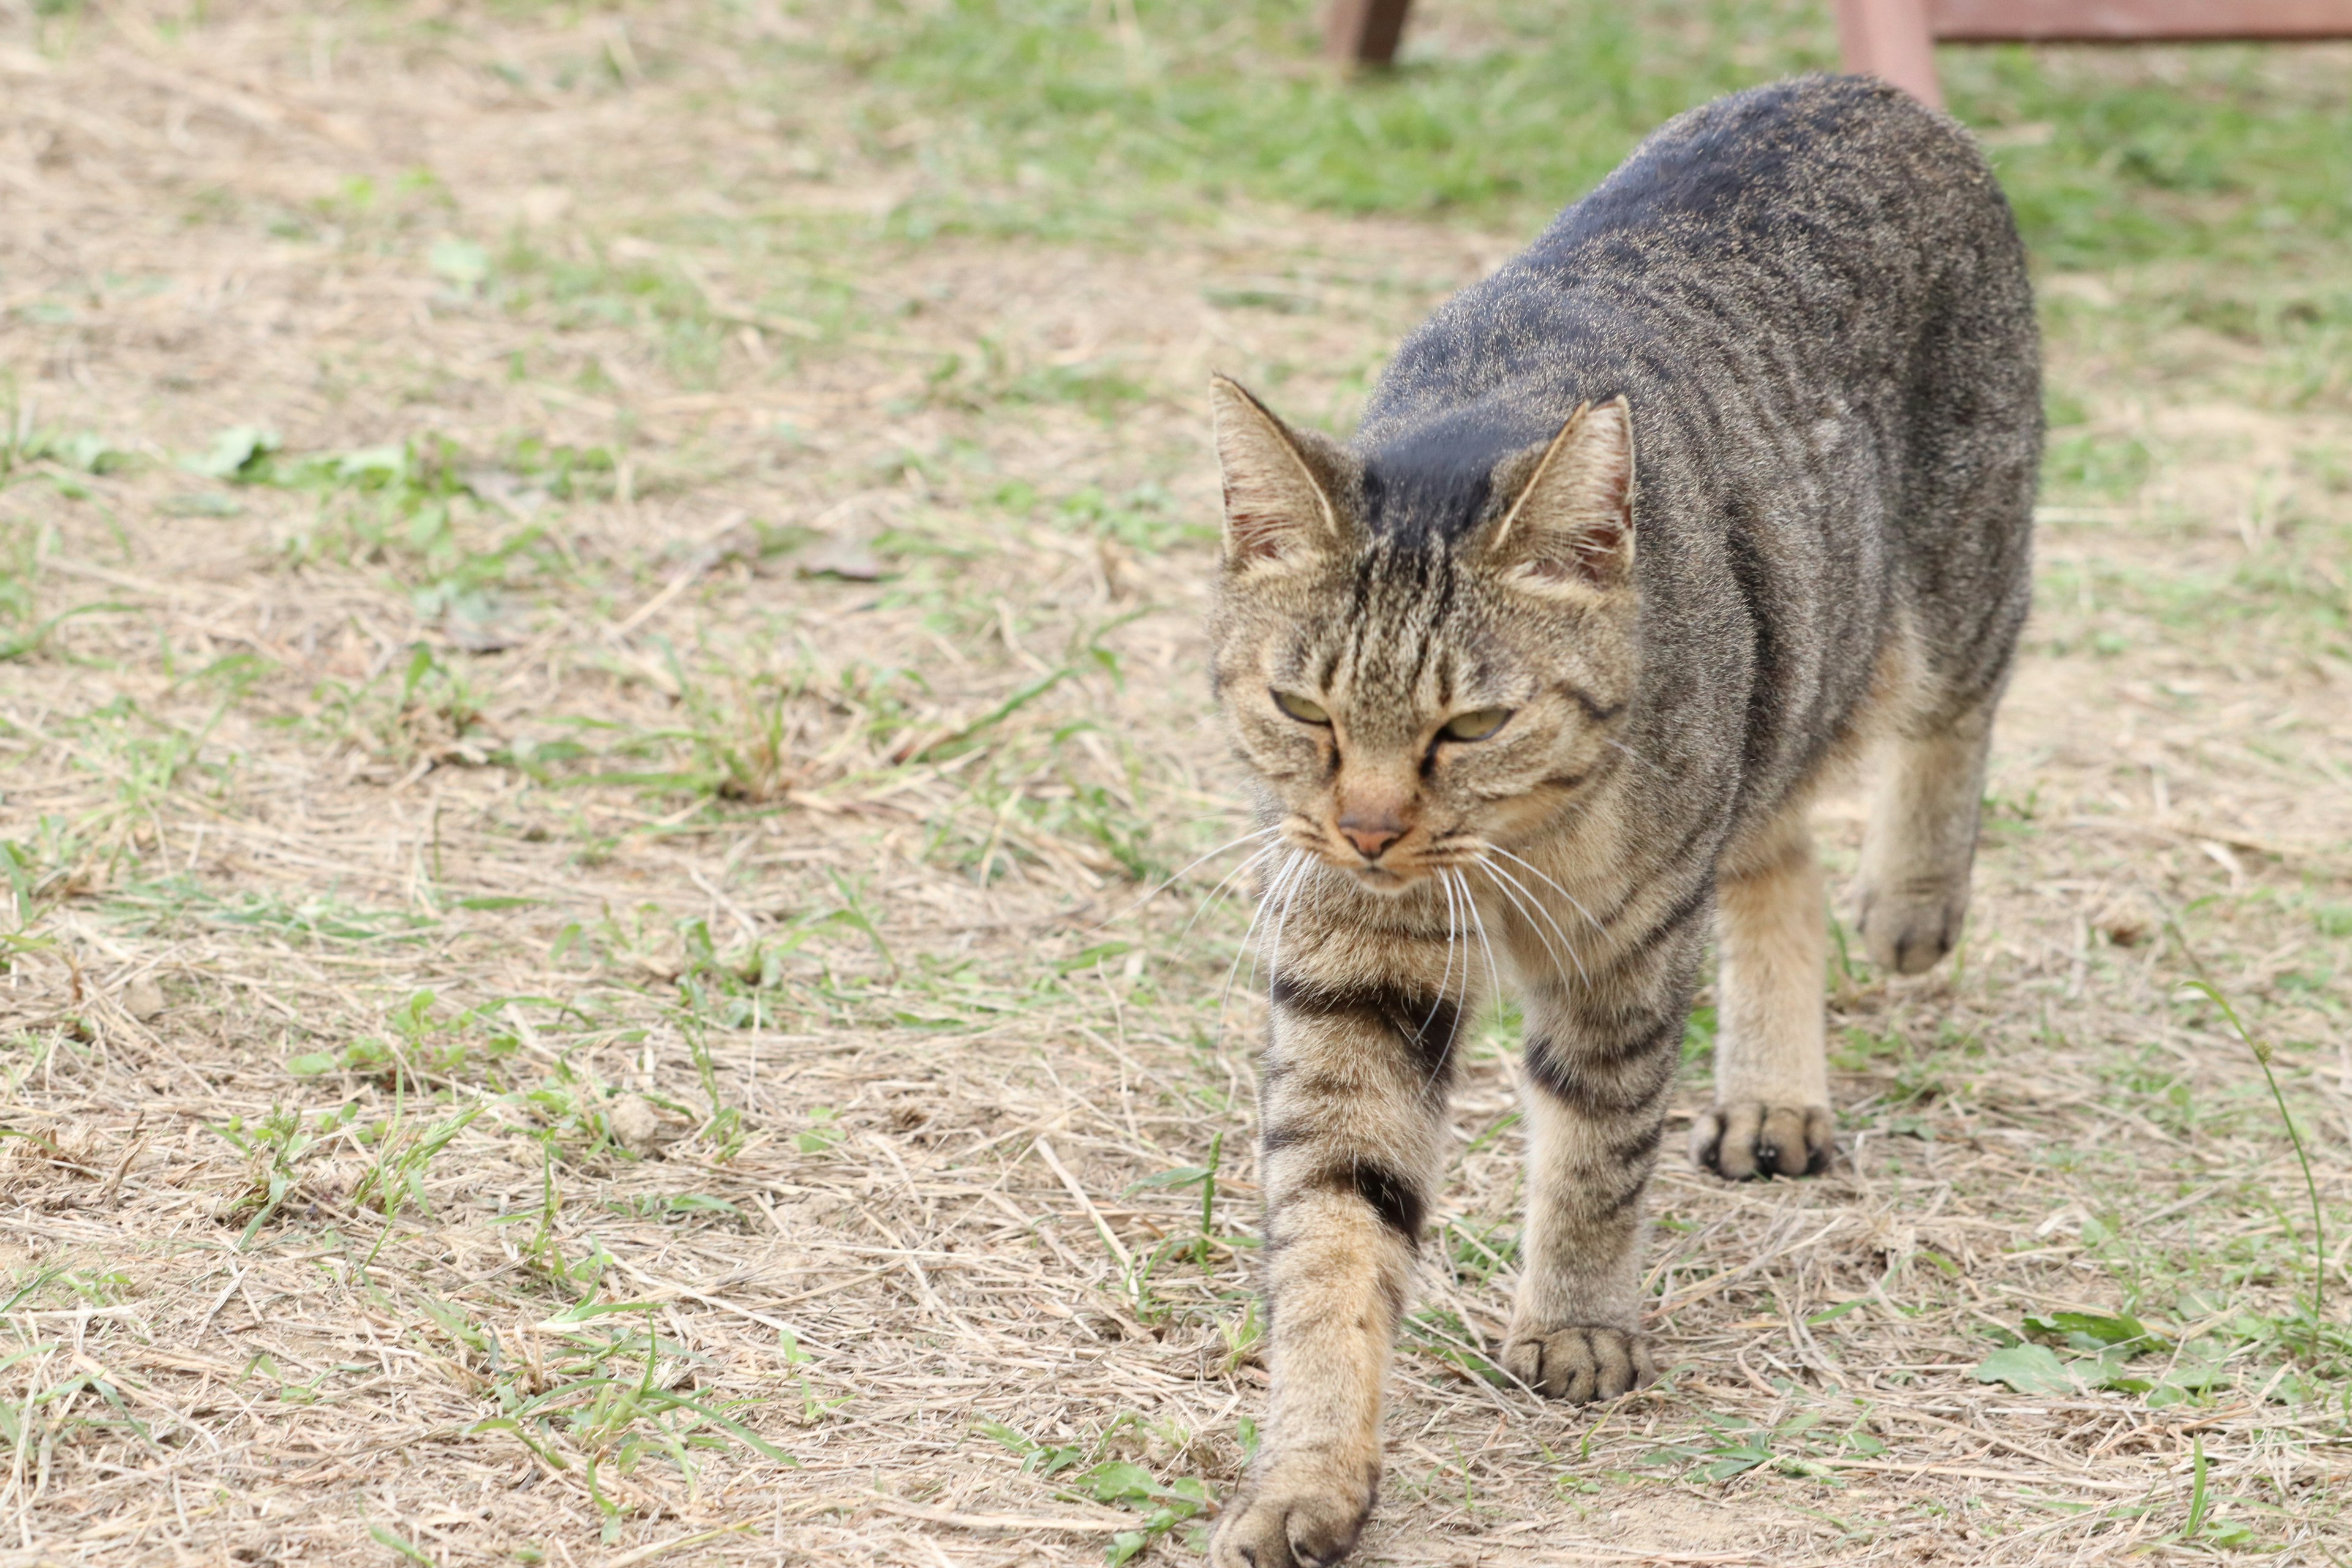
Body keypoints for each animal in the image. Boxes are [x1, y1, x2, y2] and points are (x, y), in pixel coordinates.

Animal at [1204, 80, 2032, 1561]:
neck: (1503, 858)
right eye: (1306, 711)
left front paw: (1579, 1324)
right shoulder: (1354, 969)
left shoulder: (1628, 954)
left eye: (1469, 726)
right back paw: (1773, 1091)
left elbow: (1596, 1150)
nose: (1367, 829)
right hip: (1772, 716)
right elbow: (1335, 1226)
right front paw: (1308, 1471)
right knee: (1781, 858)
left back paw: (1913, 902)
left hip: (1955, 579)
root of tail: (1873, 93)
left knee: (1953, 713)